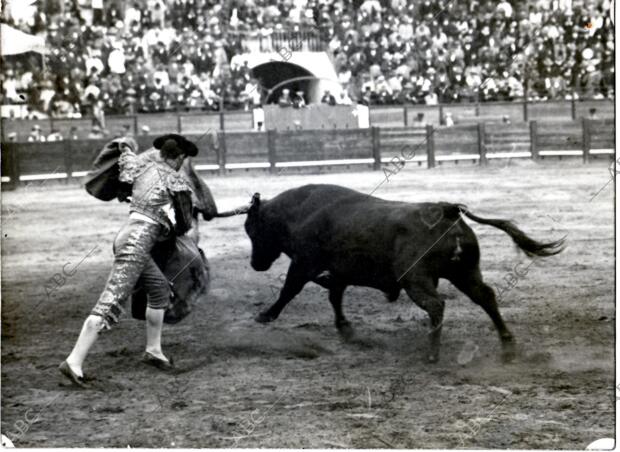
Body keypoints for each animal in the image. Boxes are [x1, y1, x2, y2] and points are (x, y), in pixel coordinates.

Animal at [235, 184, 564, 364]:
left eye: (251, 229)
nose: (255, 264)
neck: (298, 212)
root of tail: (448, 210)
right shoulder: (339, 271)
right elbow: (334, 295)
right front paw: (345, 328)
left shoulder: (304, 263)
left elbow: (290, 289)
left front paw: (265, 315)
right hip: (465, 272)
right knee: (486, 296)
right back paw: (507, 345)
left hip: (415, 279)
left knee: (436, 305)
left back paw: (432, 354)